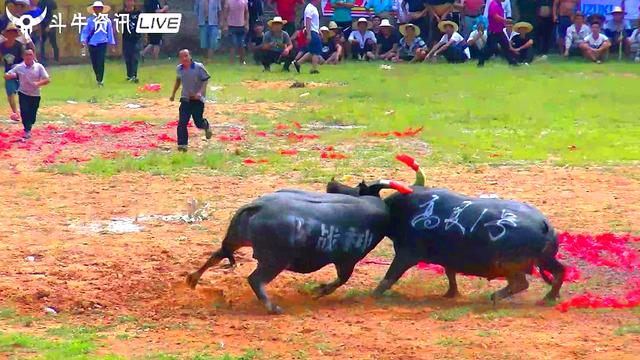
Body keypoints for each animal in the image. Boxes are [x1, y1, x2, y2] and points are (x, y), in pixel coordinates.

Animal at [188, 184, 412, 314]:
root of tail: (257, 206)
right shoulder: (346, 261)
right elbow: (340, 280)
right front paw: (319, 291)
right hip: (274, 261)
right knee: (255, 280)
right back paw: (273, 308)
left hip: (237, 240)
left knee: (216, 255)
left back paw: (192, 279)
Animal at [328, 155, 568, 304]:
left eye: (359, 188)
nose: (331, 184)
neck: (399, 210)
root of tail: (544, 224)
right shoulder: (446, 257)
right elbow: (450, 273)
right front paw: (451, 294)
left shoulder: (406, 254)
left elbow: (389, 277)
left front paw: (372, 294)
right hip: (545, 260)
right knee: (560, 272)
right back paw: (549, 297)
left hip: (509, 264)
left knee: (520, 283)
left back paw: (496, 297)